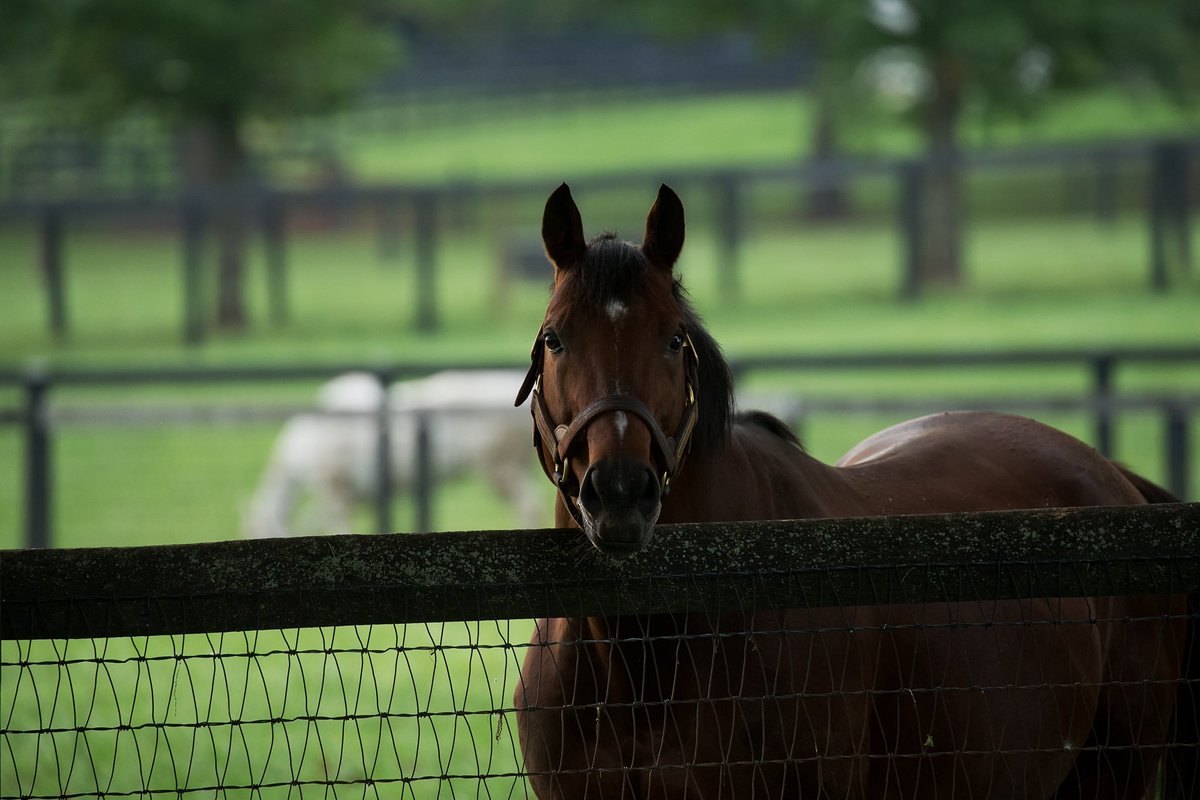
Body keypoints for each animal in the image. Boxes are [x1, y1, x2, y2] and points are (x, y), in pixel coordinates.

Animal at [242, 370, 546, 537]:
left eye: (258, 532)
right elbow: (314, 520)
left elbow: (339, 527)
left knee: (529, 505)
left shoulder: (336, 491)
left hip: (499, 467)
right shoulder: (349, 496)